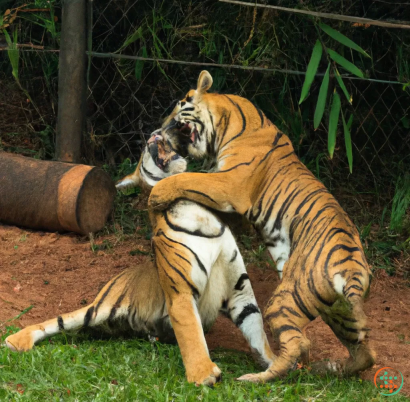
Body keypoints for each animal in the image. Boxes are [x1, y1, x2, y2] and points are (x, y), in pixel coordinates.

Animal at [4, 134, 276, 386]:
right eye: (145, 149)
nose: (154, 135)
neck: (199, 213)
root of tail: (117, 276)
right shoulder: (181, 293)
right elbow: (192, 335)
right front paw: (203, 374)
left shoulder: (240, 291)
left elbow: (257, 329)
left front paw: (275, 364)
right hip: (97, 309)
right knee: (58, 320)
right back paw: (15, 340)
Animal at [147, 71, 378, 384]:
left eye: (177, 110)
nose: (160, 127)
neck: (226, 121)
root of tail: (352, 265)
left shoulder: (229, 183)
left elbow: (187, 178)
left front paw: (155, 195)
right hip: (340, 313)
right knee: (366, 353)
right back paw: (331, 368)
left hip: (285, 299)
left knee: (298, 344)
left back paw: (255, 378)